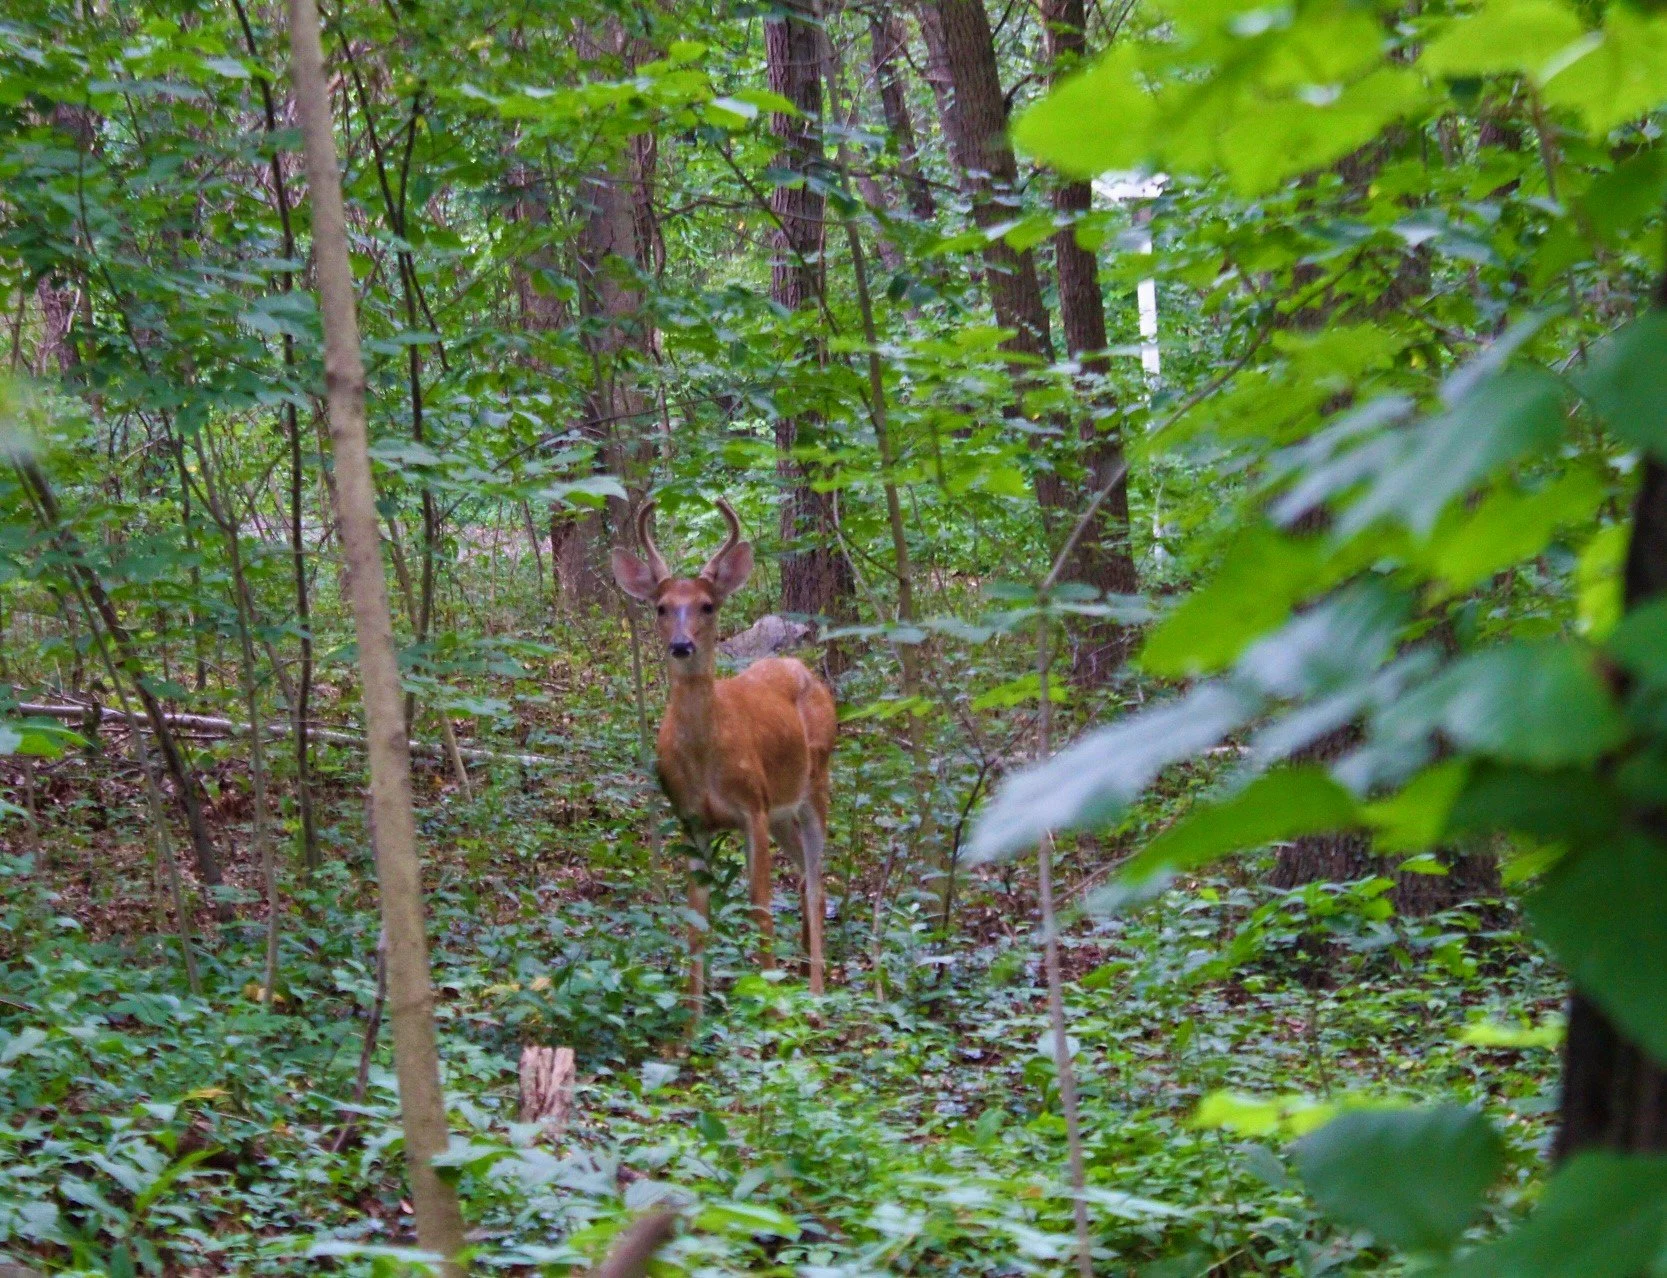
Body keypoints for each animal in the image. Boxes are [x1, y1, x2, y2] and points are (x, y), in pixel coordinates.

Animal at [611, 497, 837, 1010]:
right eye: (661, 607)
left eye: (707, 605)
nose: (681, 644)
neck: (705, 759)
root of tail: (805, 671)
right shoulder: (692, 819)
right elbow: (696, 924)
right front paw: (690, 1022)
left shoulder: (751, 807)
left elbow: (759, 906)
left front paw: (771, 1005)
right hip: (782, 811)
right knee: (802, 873)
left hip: (816, 781)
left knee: (817, 881)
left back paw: (816, 994)